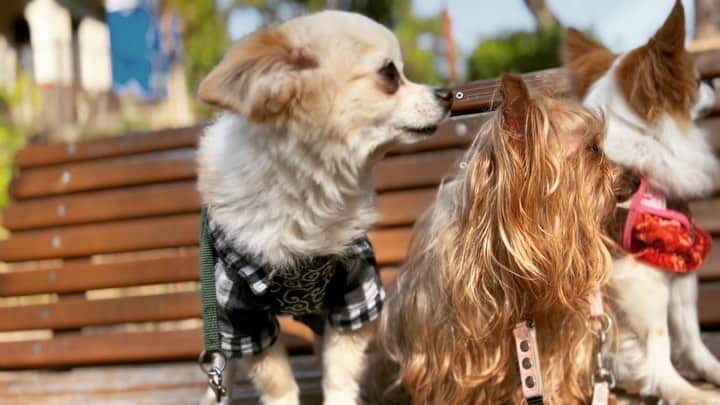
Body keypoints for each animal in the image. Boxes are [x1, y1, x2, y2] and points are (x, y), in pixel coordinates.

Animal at [195, 10, 450, 404]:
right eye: (390, 75)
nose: (447, 94)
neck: (311, 188)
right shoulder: (241, 313)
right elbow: (278, 382)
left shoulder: (354, 291)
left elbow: (340, 372)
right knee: (224, 364)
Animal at [564, 1, 720, 402]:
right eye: (698, 81)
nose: (714, 82)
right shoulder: (642, 274)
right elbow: (660, 339)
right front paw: (680, 390)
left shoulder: (680, 254)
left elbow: (689, 330)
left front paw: (707, 371)